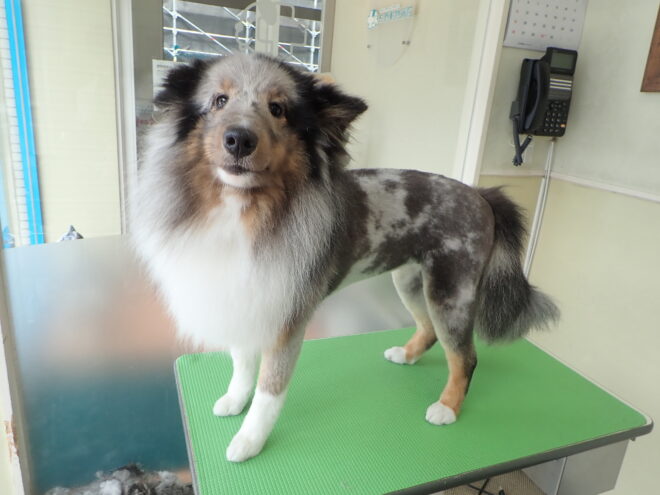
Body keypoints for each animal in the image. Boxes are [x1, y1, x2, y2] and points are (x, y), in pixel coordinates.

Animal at [132, 53, 559, 463]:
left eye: (278, 109)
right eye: (219, 101)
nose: (239, 139)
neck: (247, 212)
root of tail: (481, 195)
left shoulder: (287, 318)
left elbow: (270, 390)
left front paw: (250, 440)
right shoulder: (248, 299)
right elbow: (242, 364)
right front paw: (236, 400)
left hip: (451, 291)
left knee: (465, 357)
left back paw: (447, 408)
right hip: (409, 281)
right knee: (429, 330)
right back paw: (405, 355)